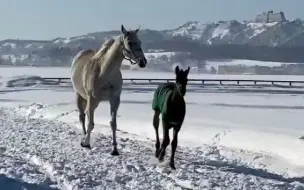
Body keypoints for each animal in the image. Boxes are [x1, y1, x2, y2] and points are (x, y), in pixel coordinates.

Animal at [71, 24, 147, 155]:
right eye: (129, 42)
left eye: (140, 41)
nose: (143, 62)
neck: (104, 73)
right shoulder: (92, 99)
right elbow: (91, 124)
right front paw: (86, 142)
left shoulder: (115, 100)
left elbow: (113, 124)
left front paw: (115, 149)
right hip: (80, 96)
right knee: (82, 117)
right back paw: (83, 138)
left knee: (86, 115)